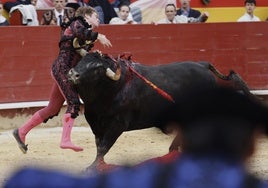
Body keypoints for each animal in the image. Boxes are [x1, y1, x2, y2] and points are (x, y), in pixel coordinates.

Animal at [68, 51, 252, 170]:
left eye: (97, 69)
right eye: (81, 61)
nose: (73, 74)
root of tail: (203, 65)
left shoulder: (118, 124)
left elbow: (104, 146)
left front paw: (93, 168)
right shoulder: (95, 123)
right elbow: (99, 145)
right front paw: (98, 165)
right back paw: (173, 152)